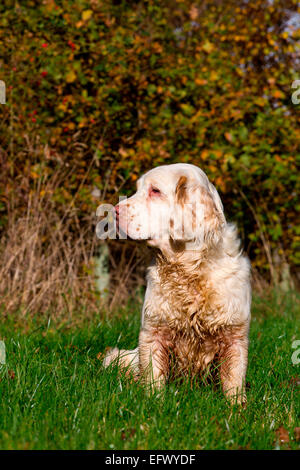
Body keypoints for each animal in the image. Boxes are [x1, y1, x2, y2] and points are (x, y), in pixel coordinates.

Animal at [103, 163, 251, 402]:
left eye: (155, 191)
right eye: (138, 189)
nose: (114, 211)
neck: (189, 269)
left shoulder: (234, 336)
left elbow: (234, 381)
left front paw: (236, 407)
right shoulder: (153, 333)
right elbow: (153, 377)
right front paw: (154, 402)